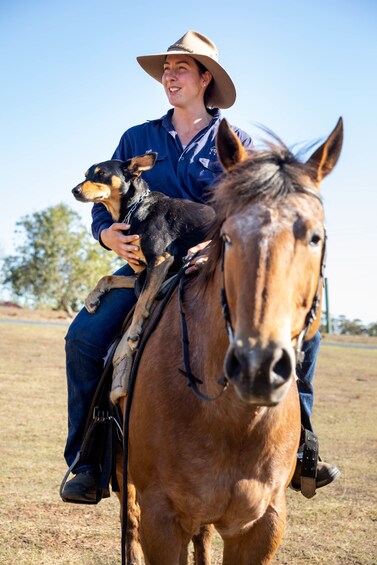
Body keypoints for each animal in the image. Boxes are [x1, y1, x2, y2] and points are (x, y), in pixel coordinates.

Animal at [72, 153, 213, 384]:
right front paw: (93, 297)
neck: (134, 209)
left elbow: (141, 301)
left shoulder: (160, 261)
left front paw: (134, 332)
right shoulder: (141, 273)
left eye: (101, 174)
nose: (74, 190)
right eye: (86, 175)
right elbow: (108, 278)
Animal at [118, 117, 344, 560]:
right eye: (226, 235)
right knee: (129, 526)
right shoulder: (161, 519)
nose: (258, 367)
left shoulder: (264, 523)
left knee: (202, 535)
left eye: (315, 237)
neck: (233, 421)